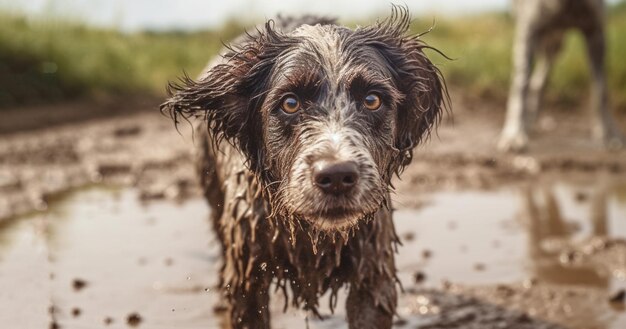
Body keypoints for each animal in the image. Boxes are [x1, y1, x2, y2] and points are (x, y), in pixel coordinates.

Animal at [494, 0, 620, 151]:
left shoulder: (595, 31)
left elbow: (601, 90)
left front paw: (608, 133)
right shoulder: (529, 30)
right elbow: (520, 86)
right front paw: (514, 134)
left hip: (554, 45)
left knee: (539, 82)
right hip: (545, 40)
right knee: (534, 81)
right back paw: (528, 122)